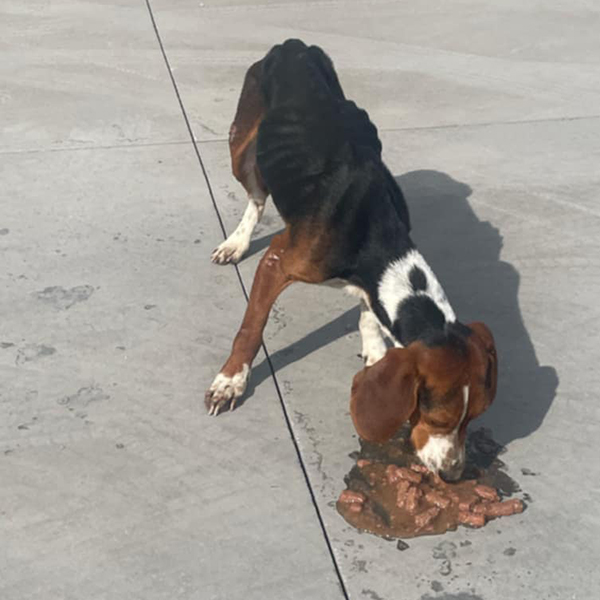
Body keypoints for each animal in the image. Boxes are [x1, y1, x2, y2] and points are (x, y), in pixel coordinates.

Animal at [205, 39, 498, 481]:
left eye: (473, 419)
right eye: (440, 419)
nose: (452, 474)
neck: (375, 237)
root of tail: (293, 46)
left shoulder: (370, 287)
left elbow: (367, 313)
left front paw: (375, 350)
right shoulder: (276, 262)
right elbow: (251, 330)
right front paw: (230, 380)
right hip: (240, 146)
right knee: (256, 195)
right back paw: (236, 242)